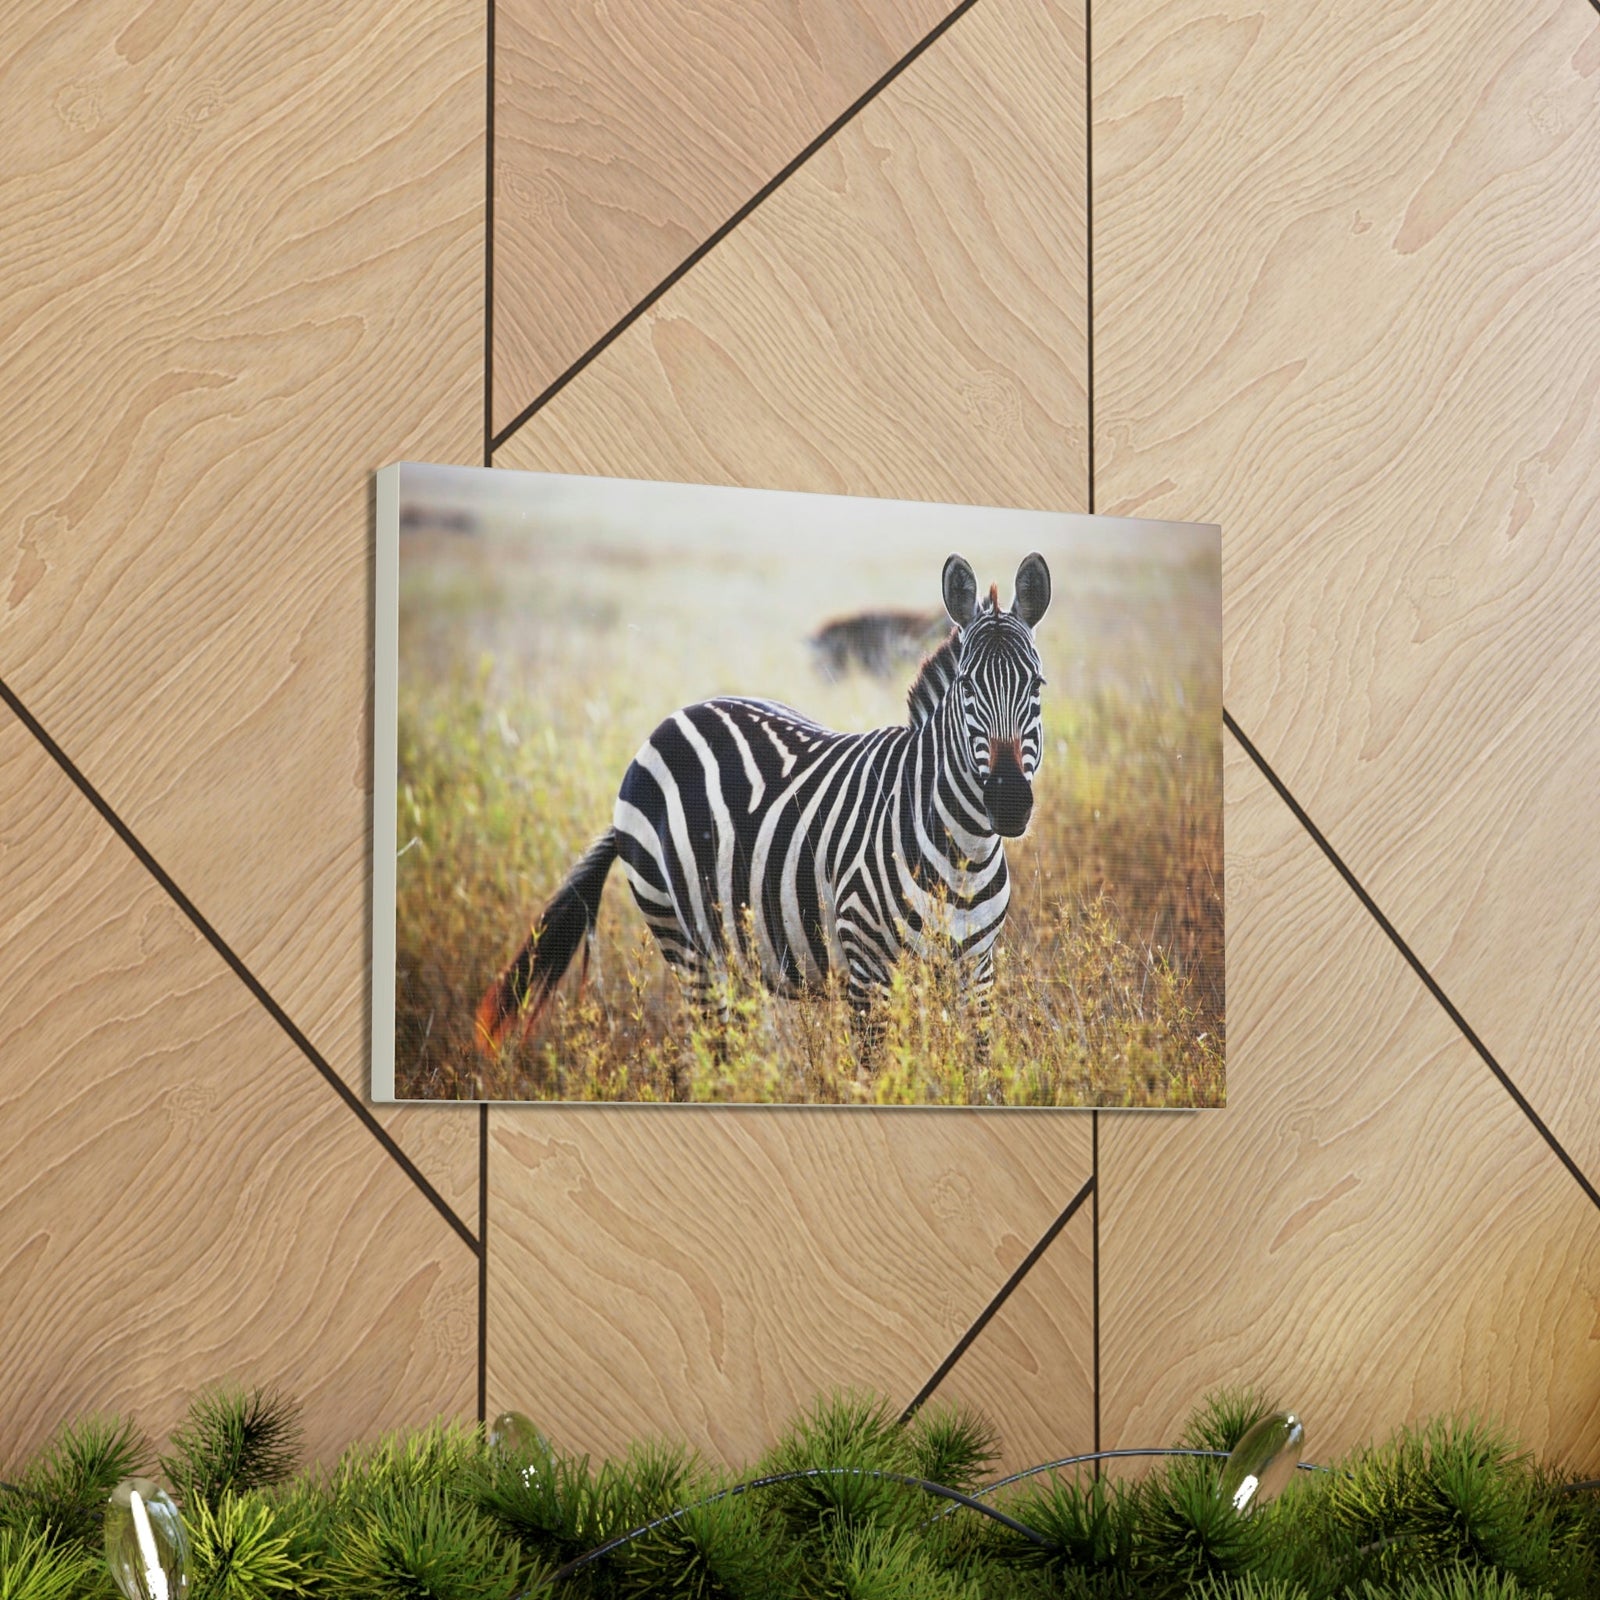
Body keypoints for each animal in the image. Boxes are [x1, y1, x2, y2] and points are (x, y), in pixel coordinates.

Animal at [475, 552, 1052, 1065]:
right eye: (967, 685)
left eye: (1037, 685)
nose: (1007, 801)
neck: (963, 852)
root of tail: (674, 718)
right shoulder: (868, 969)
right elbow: (879, 1075)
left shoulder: (977, 970)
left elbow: (976, 1069)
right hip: (684, 940)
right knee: (716, 1053)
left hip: (738, 950)